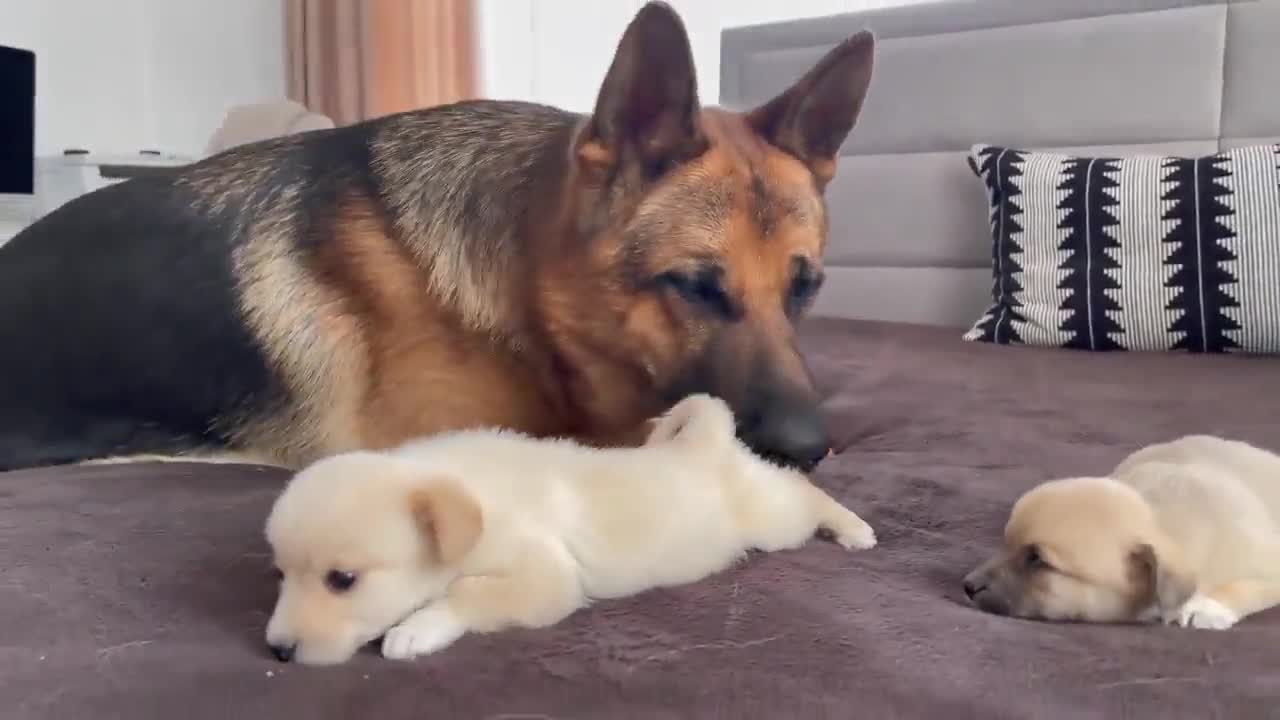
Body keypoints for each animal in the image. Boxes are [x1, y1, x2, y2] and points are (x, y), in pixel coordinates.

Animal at [264, 392, 875, 661]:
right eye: (280, 576)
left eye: (342, 580)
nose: (277, 652)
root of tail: (705, 441)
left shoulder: (545, 578)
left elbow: (467, 593)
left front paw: (417, 629)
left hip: (771, 518)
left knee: (804, 492)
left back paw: (854, 529)